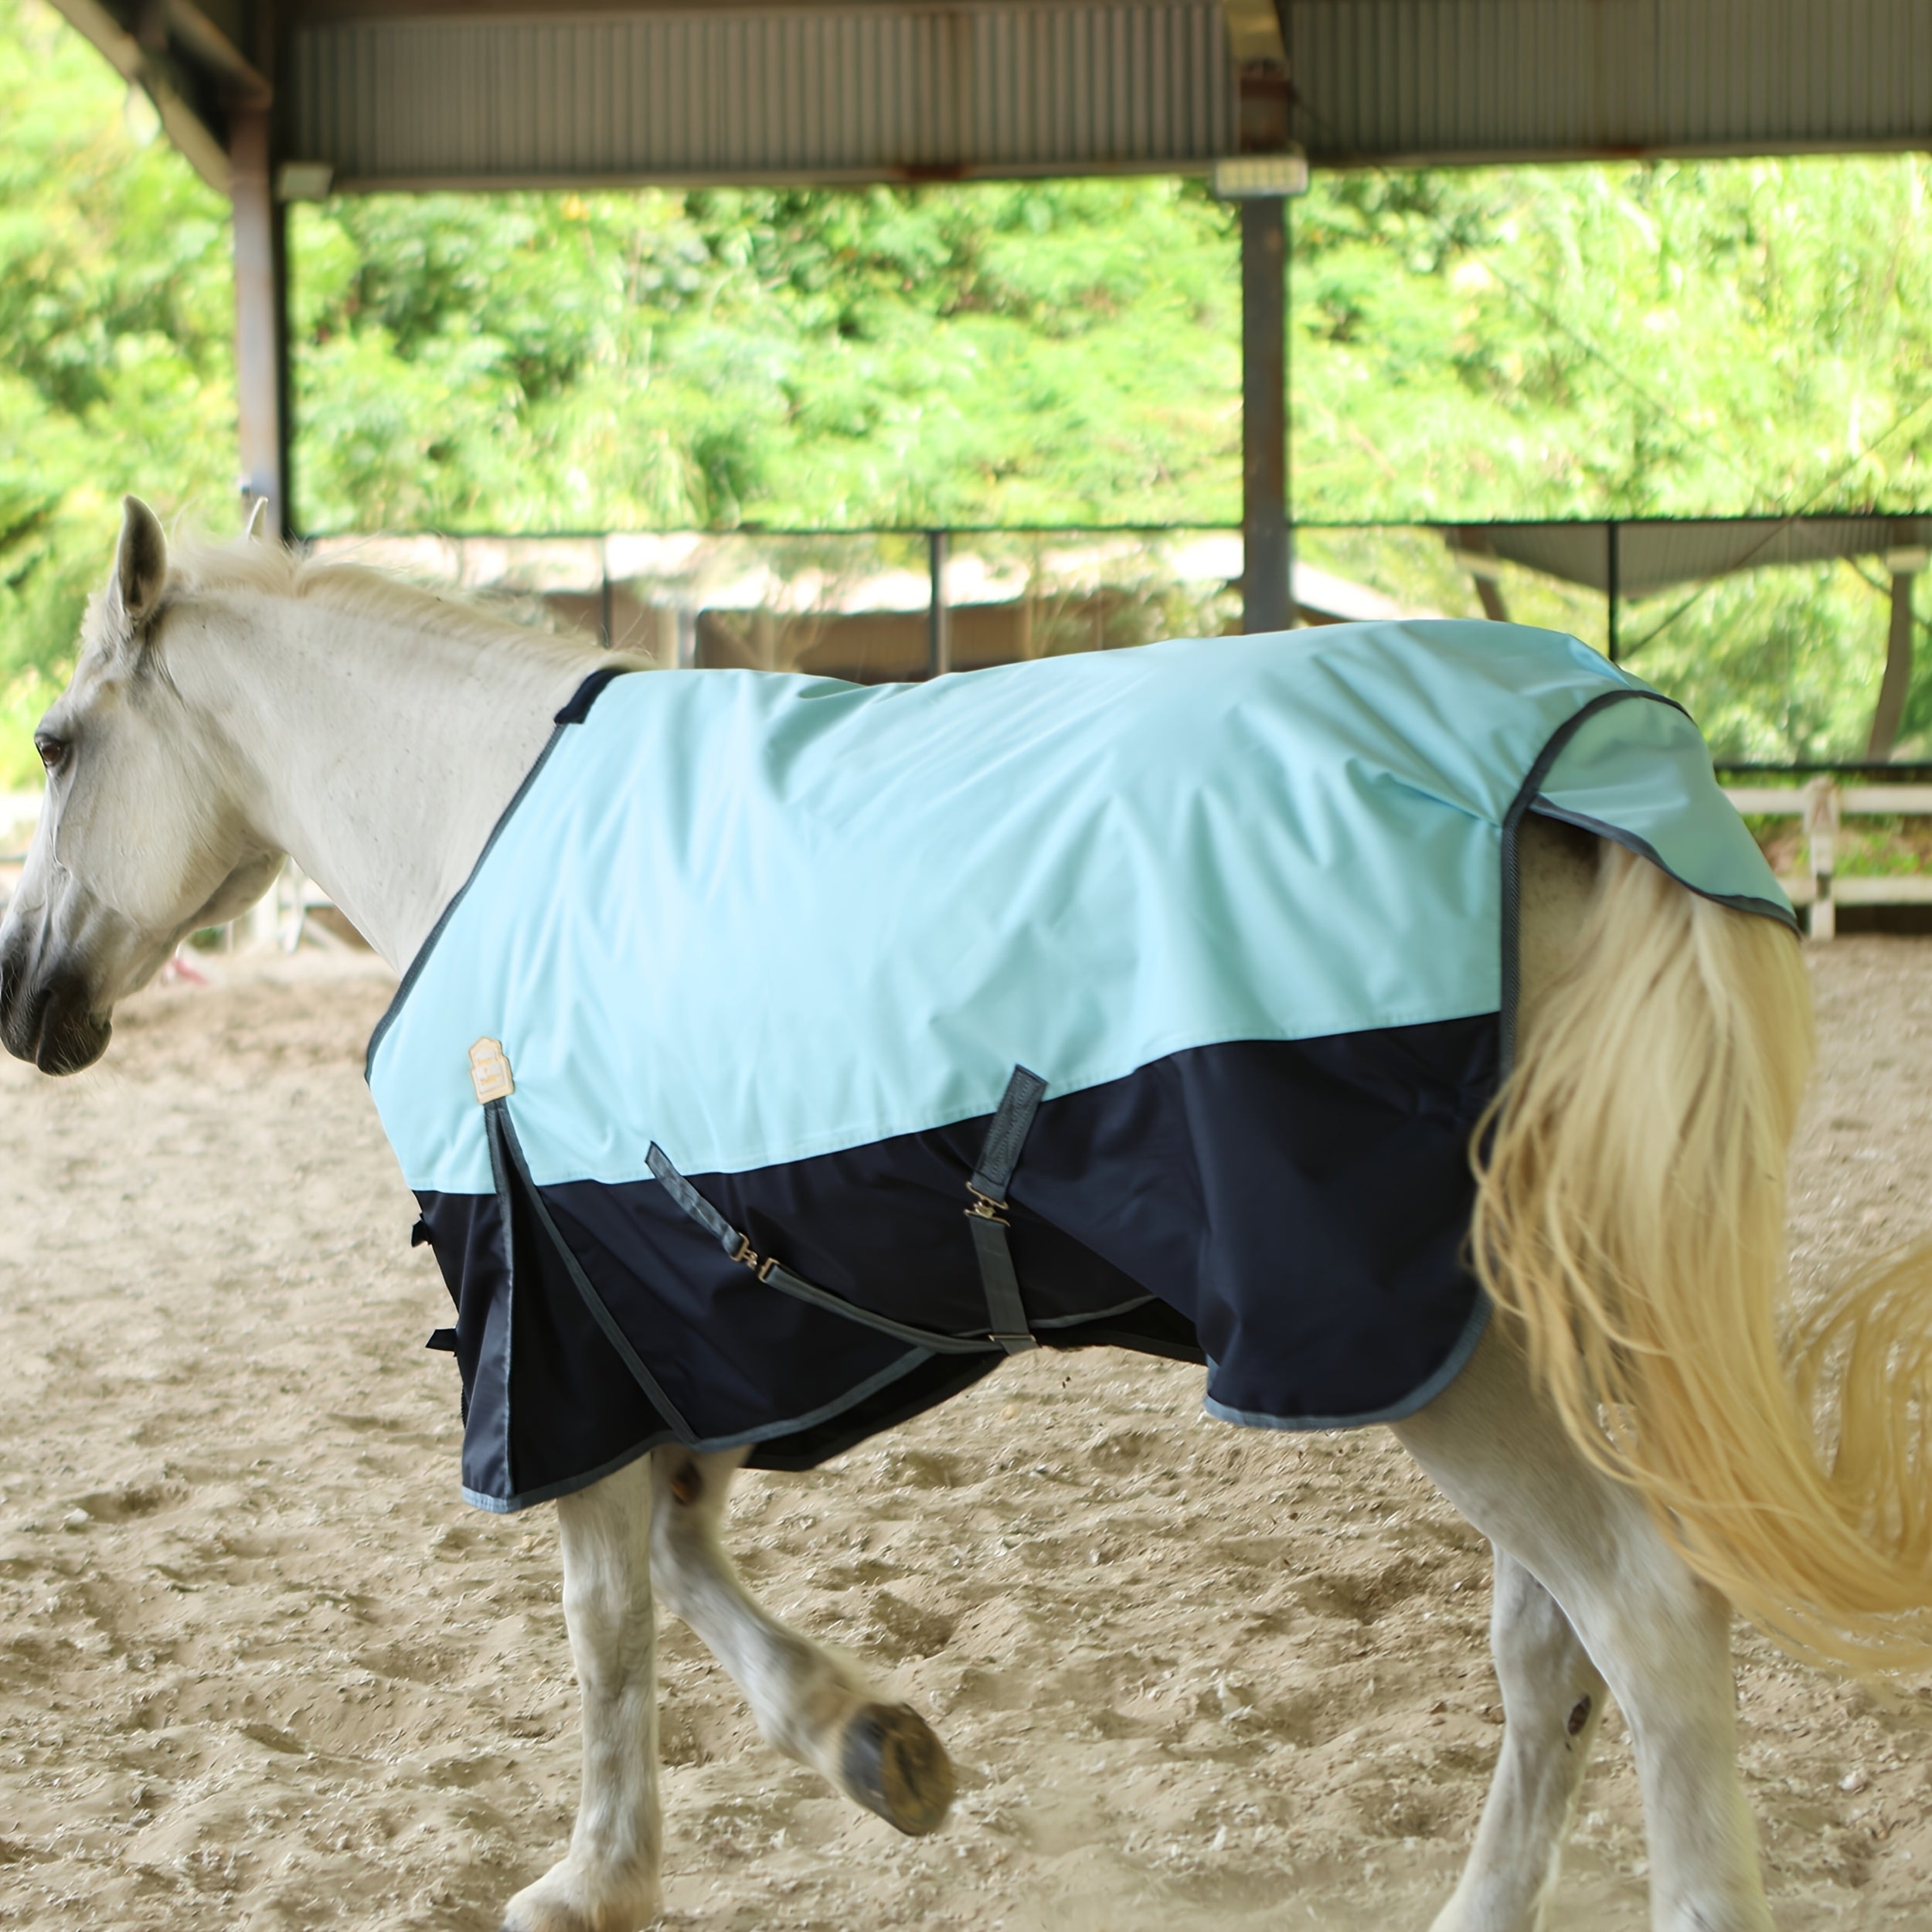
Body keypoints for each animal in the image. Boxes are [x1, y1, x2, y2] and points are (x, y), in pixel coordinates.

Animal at [2, 496, 1928, 1932]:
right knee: (1549, 1651)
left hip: (1417, 1349)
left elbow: (607, 1599)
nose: (28, 1003)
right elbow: (681, 1552)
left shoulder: (551, 1304)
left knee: (1644, 1620)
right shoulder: (717, 1300)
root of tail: (1565, 766)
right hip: (1489, 1324)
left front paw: (597, 1871)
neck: (495, 820)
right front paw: (868, 1739)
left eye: (55, 739)